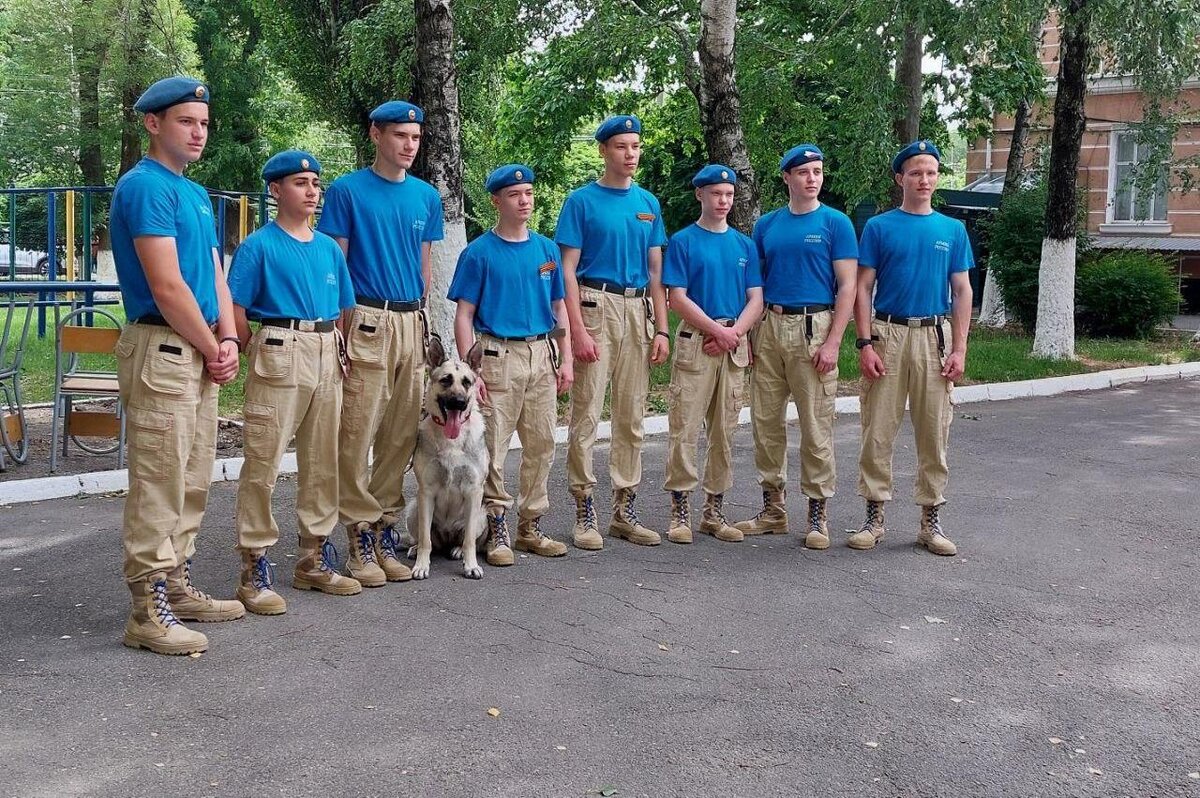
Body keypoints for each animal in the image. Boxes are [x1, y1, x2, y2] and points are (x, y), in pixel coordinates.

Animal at [408, 333, 487, 576]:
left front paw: (471, 565)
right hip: (414, 509)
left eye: (467, 382)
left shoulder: (474, 491)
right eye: (446, 380)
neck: (452, 440)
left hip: (482, 514)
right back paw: (415, 549)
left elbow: (469, 540)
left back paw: (458, 551)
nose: (459, 403)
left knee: (463, 539)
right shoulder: (426, 492)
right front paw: (421, 566)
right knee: (428, 540)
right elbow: (425, 540)